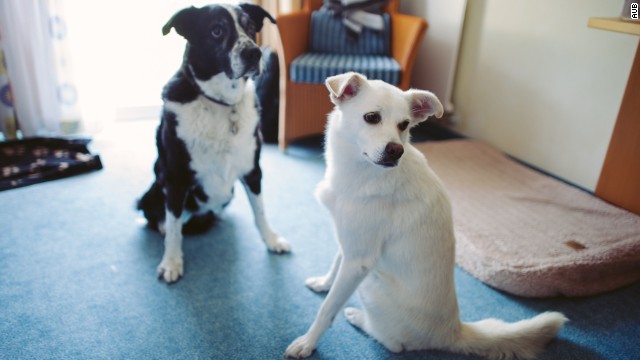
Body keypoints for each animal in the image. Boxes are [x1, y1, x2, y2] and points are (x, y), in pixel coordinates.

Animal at [141, 3, 292, 284]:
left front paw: (271, 239)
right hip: (154, 190)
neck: (221, 102)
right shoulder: (175, 178)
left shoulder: (253, 170)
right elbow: (175, 228)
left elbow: (260, 211)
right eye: (216, 30)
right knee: (160, 218)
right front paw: (172, 262)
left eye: (251, 26)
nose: (254, 53)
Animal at [284, 72, 564, 358]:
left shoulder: (360, 261)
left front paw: (307, 343)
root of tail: (453, 332)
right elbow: (335, 264)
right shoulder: (350, 243)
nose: (396, 151)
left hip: (371, 281)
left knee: (395, 344)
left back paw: (358, 318)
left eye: (404, 124)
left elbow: (328, 308)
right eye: (371, 117)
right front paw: (324, 283)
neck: (361, 169)